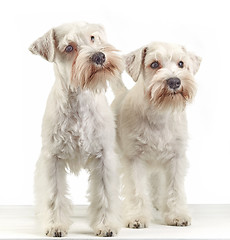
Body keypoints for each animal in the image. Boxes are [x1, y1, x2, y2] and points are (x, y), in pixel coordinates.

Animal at [29, 22, 125, 236]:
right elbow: (53, 195)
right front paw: (55, 225)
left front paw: (105, 225)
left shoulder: (104, 156)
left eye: (92, 38)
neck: (79, 96)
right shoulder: (52, 159)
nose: (99, 56)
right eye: (69, 47)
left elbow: (104, 194)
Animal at [111, 41, 201, 229]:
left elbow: (174, 189)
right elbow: (137, 190)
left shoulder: (175, 158)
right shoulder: (134, 159)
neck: (160, 113)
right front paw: (137, 217)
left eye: (181, 63)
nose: (174, 81)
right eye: (154, 64)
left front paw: (177, 215)